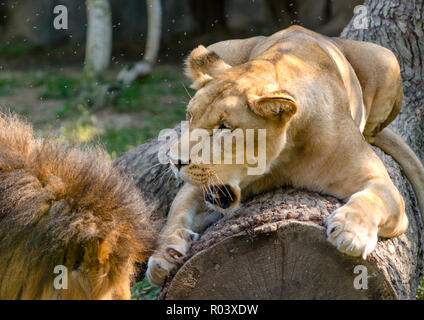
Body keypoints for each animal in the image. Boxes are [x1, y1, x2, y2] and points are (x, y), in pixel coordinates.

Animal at [147, 25, 424, 284]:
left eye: (224, 127)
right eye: (189, 116)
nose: (174, 161)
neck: (282, 159)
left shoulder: (381, 184)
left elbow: (373, 200)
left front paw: (351, 230)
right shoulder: (201, 186)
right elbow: (176, 215)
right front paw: (163, 257)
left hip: (385, 57)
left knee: (374, 131)